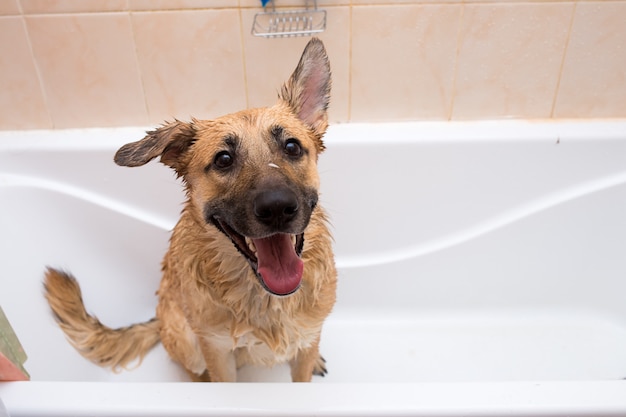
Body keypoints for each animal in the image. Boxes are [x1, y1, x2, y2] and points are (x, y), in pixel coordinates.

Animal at [42, 38, 336, 380]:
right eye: (223, 160)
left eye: (291, 146)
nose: (277, 208)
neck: (262, 297)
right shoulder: (217, 352)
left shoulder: (307, 339)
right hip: (189, 342)